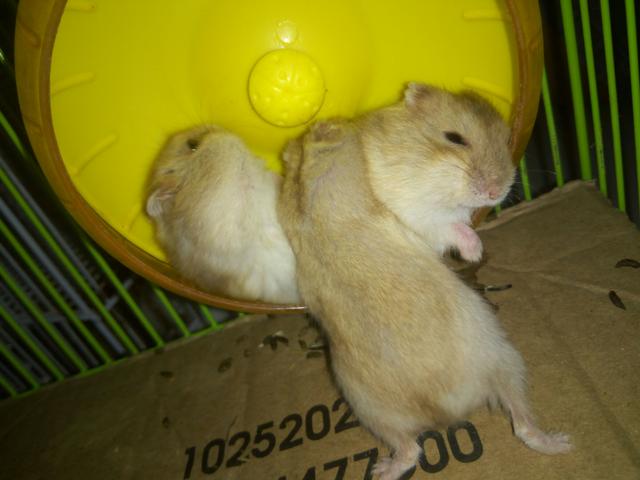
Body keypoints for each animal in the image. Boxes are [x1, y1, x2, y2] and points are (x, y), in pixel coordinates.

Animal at [278, 83, 570, 480]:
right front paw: (475, 251)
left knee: (412, 448)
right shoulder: (415, 215)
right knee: (520, 426)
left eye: (508, 141)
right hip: (506, 358)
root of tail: (446, 410)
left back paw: (381, 471)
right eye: (454, 138)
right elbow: (449, 226)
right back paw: (565, 442)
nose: (496, 192)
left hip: (373, 410)